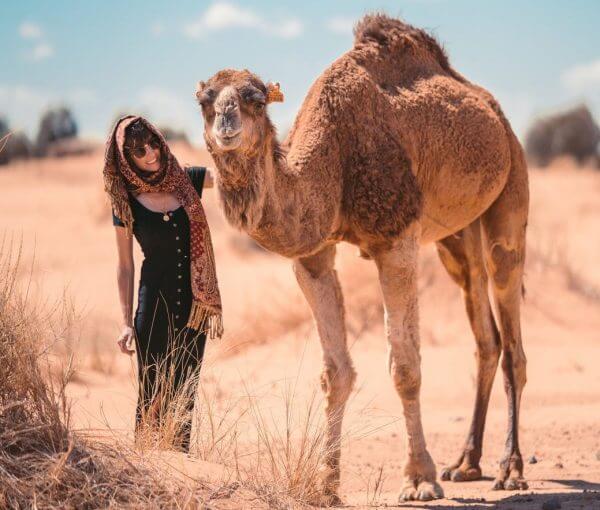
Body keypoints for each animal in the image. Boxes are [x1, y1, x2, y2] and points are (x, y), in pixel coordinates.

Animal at [195, 13, 528, 504]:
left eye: (254, 99)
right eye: (205, 100)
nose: (226, 123)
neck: (333, 157)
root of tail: (495, 113)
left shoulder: (396, 239)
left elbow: (405, 365)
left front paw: (419, 478)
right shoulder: (312, 255)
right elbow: (336, 372)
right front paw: (326, 483)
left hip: (511, 191)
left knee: (510, 329)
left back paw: (511, 468)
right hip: (456, 239)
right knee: (485, 333)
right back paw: (466, 463)